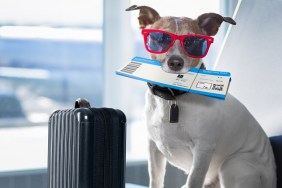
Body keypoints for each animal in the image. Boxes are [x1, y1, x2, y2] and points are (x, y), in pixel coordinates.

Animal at [126, 4, 276, 188]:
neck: (173, 96)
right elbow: (155, 179)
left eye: (193, 42)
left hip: (233, 164)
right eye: (160, 38)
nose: (175, 62)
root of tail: (271, 176)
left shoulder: (203, 149)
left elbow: (194, 179)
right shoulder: (153, 148)